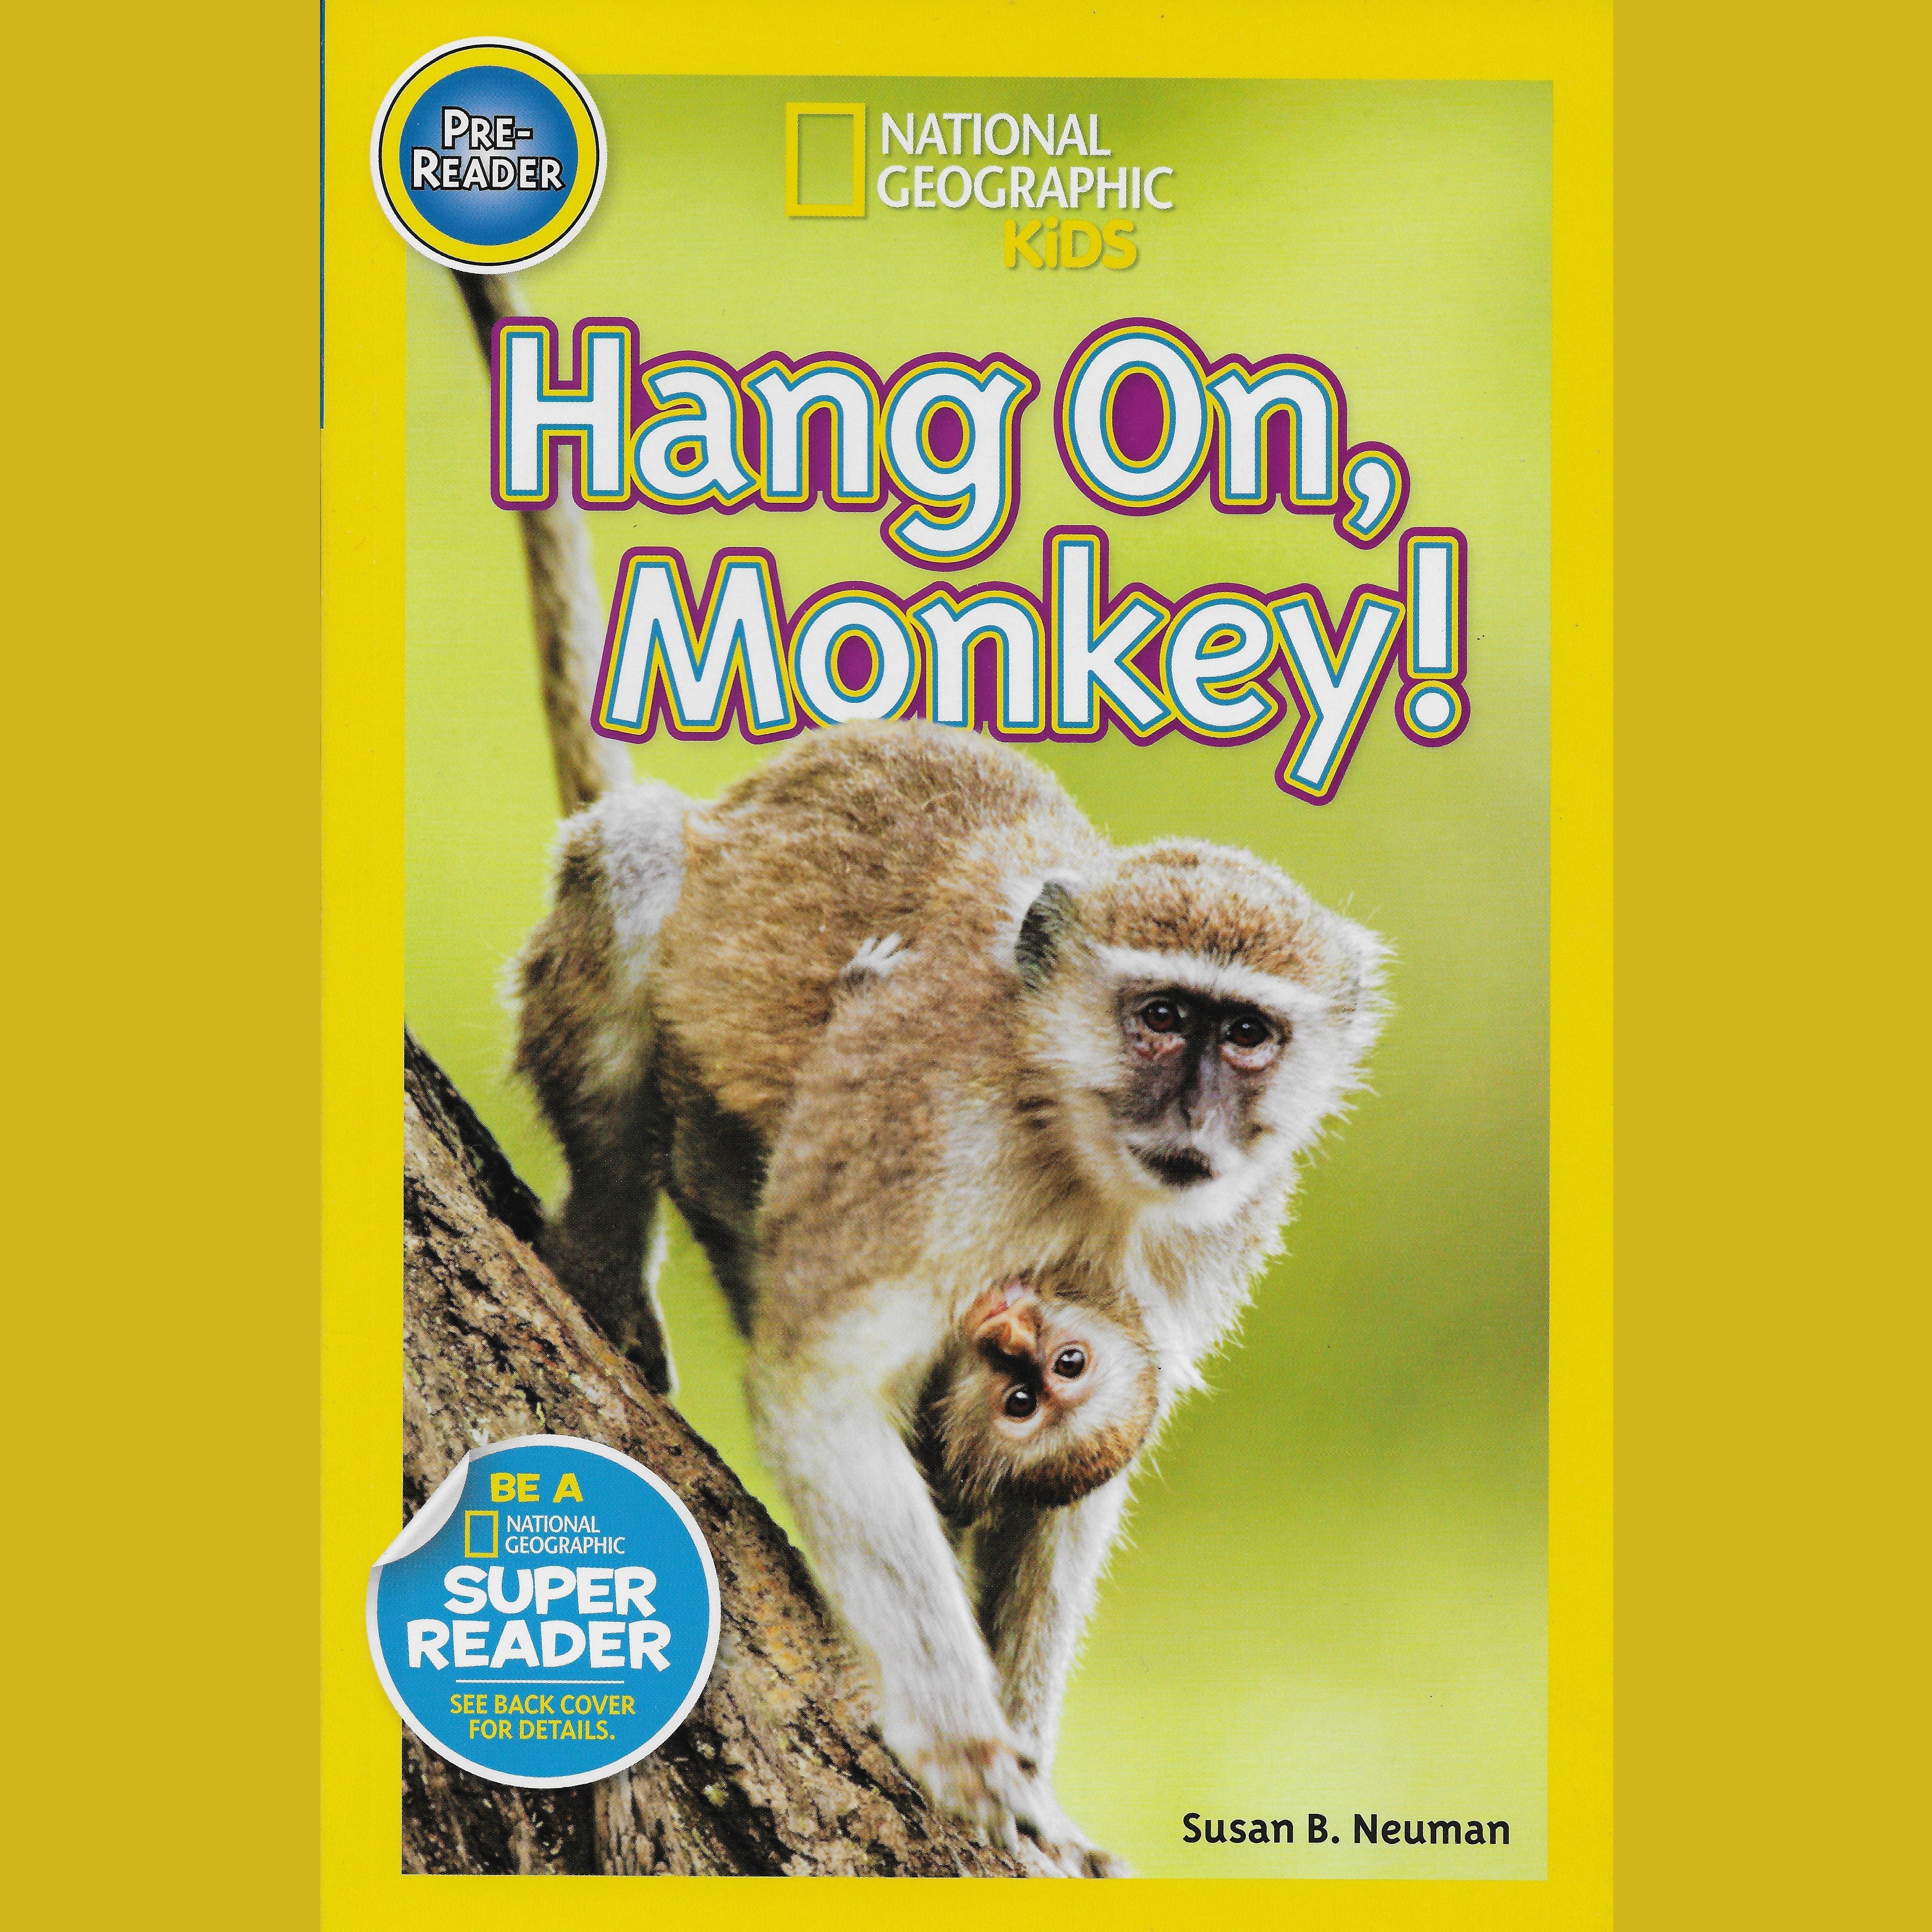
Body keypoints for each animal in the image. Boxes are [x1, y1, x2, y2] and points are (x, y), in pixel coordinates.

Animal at [455, 272, 1388, 1875]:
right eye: (1164, 1017)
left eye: (1248, 1035)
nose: (1195, 1116)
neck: (1074, 1144)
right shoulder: (926, 1134)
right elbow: (826, 1383)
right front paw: (966, 1747)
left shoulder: (1210, 1235)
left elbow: (1083, 1478)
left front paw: (1033, 1775)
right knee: (636, 862)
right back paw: (605, 1248)